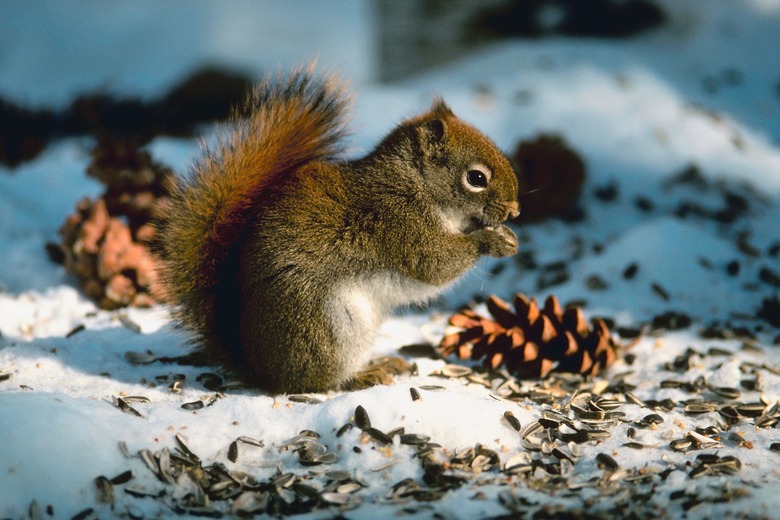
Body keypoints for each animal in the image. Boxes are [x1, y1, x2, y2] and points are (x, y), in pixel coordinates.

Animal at [155, 68, 520, 394]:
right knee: (319, 381)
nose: (515, 210)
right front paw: (492, 240)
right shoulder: (398, 223)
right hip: (326, 328)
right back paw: (362, 376)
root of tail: (257, 368)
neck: (415, 186)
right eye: (476, 178)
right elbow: (435, 263)